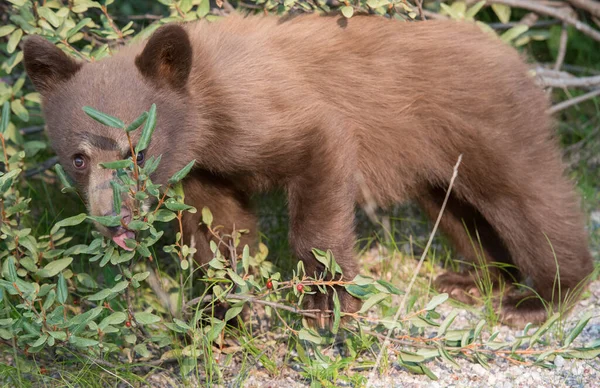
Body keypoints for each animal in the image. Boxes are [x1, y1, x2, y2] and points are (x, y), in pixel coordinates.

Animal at [23, 12, 596, 328]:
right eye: (78, 159)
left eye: (138, 152)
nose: (114, 221)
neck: (203, 108)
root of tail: (514, 56)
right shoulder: (201, 166)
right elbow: (219, 229)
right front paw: (220, 314)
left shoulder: (265, 112)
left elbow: (317, 166)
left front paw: (328, 302)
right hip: (435, 161)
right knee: (454, 211)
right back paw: (477, 281)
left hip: (487, 125)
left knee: (527, 196)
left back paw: (541, 297)